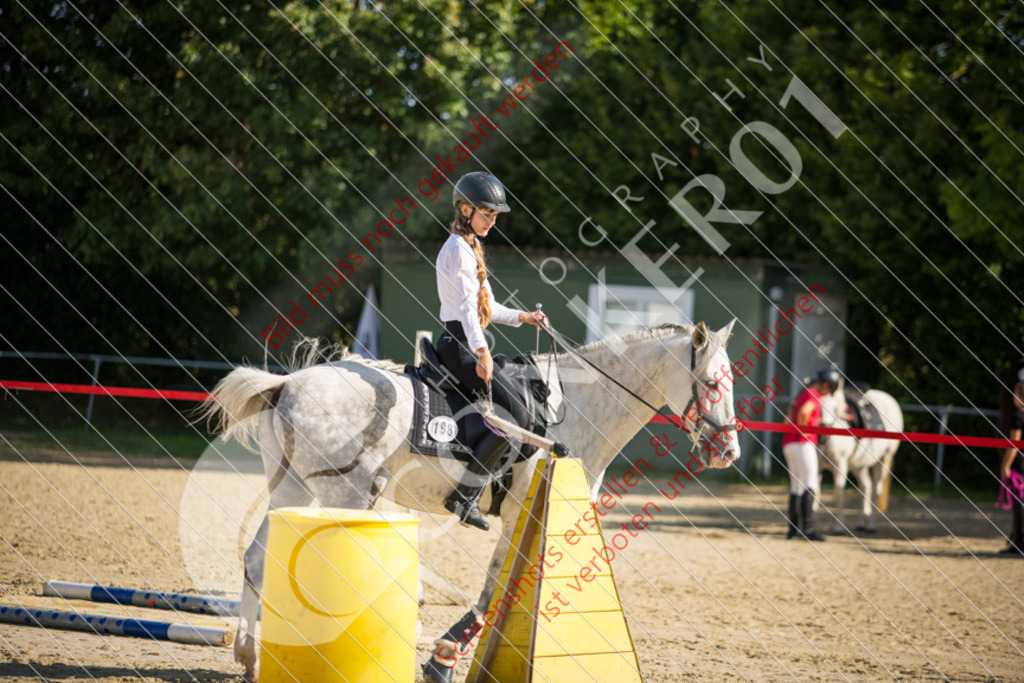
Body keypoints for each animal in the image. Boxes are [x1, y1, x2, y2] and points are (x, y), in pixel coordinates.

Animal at [201, 321, 745, 683]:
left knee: (256, 560)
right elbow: (491, 592)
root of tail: (288, 384)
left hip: (292, 488)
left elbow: (496, 589)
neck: (579, 408)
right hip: (345, 493)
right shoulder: (526, 513)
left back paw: (248, 657)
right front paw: (441, 660)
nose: (729, 452)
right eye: (713, 384)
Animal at [819, 378, 901, 532]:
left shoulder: (840, 463)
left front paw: (838, 527)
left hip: (884, 459)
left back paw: (870, 525)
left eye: (834, 408)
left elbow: (838, 494)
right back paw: (862, 523)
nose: (822, 437)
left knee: (876, 490)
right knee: (866, 487)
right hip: (859, 465)